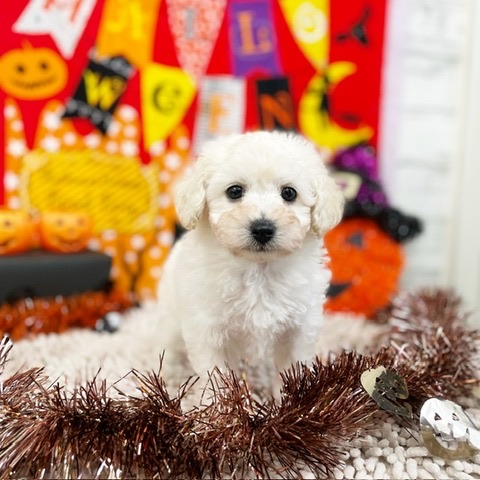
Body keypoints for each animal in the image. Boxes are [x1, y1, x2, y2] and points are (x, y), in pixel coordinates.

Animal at [158, 129, 344, 380]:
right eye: (234, 191)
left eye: (289, 193)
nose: (263, 229)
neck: (258, 270)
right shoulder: (208, 331)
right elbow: (216, 376)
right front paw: (222, 393)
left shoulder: (298, 329)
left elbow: (294, 370)